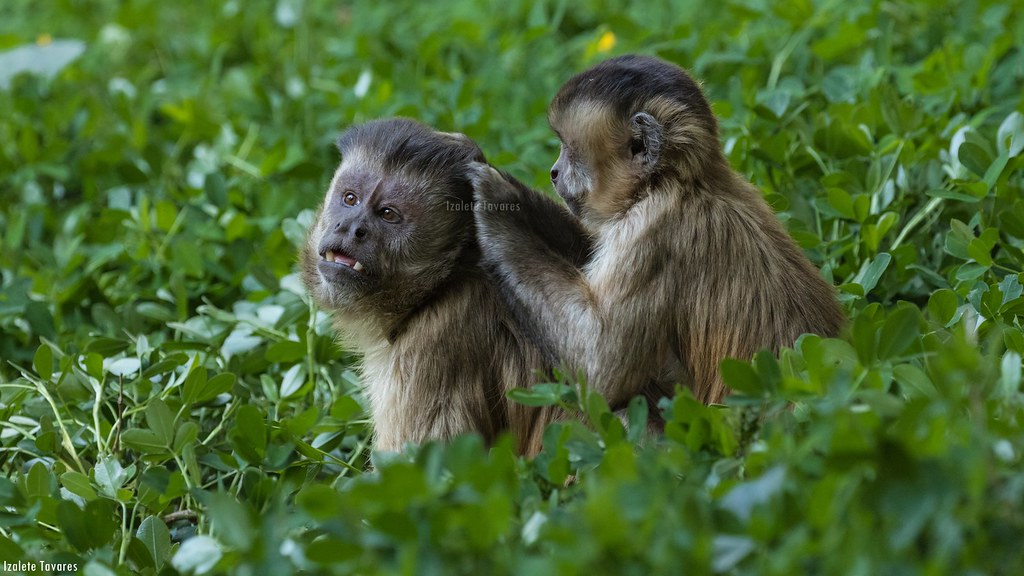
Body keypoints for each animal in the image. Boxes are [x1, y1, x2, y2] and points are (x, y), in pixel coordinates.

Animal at [471, 53, 839, 405]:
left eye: (569, 149)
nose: (554, 172)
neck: (675, 183)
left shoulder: (650, 231)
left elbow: (601, 368)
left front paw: (496, 202)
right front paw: (516, 196)